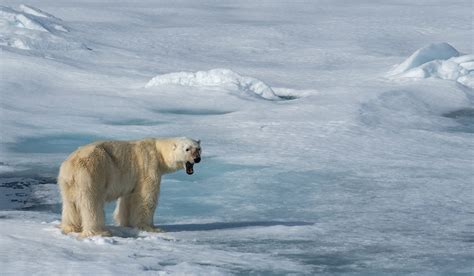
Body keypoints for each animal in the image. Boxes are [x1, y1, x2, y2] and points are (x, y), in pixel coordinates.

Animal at [58, 137, 201, 236]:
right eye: (187, 149)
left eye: (198, 148)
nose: (197, 159)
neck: (158, 151)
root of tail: (71, 166)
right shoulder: (148, 166)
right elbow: (146, 198)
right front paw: (151, 227)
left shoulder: (132, 180)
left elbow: (127, 199)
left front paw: (126, 223)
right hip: (93, 173)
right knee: (91, 203)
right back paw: (99, 231)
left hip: (67, 182)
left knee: (70, 204)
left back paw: (70, 227)